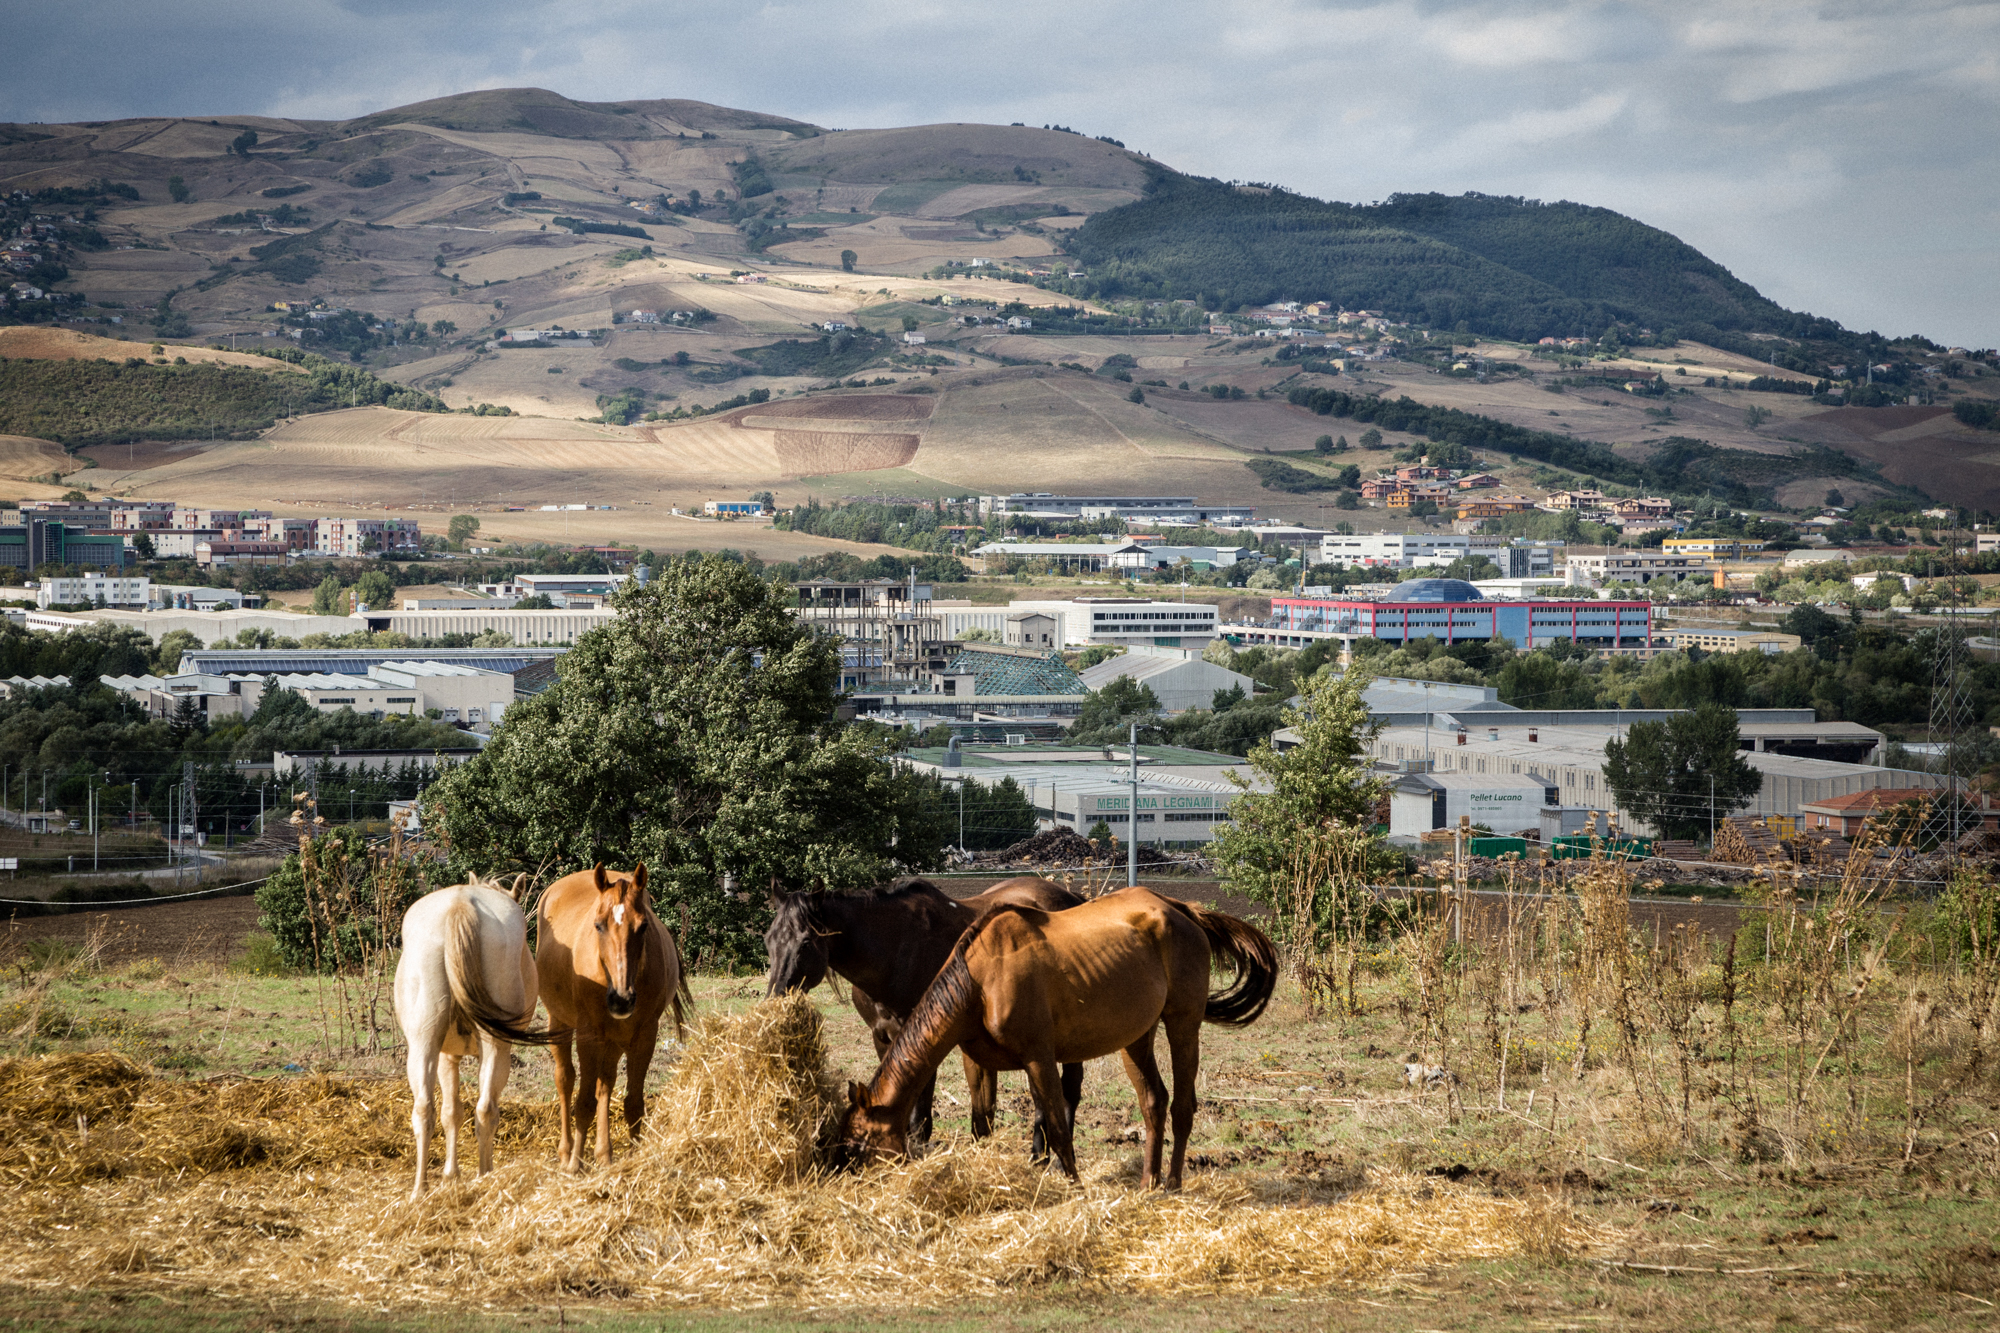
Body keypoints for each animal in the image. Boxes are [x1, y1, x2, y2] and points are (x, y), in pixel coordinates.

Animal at [392, 872, 568, 1192]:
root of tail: (460, 904)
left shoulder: (446, 1056)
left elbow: (451, 1112)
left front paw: (450, 1174)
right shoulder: (456, 1055)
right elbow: (458, 1112)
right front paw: (454, 1174)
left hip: (424, 1044)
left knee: (424, 1109)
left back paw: (420, 1189)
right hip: (497, 1047)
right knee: (486, 1109)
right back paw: (485, 1175)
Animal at [536, 860, 692, 1160]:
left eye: (643, 926)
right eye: (598, 925)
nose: (622, 1000)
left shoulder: (644, 1036)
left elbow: (633, 1103)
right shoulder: (588, 1035)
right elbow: (584, 1102)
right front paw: (575, 1163)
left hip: (615, 1040)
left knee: (604, 1084)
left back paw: (604, 1154)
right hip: (559, 1022)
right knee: (565, 1080)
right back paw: (566, 1152)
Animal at [764, 876, 1088, 1144]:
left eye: (806, 942)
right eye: (768, 939)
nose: (775, 999)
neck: (895, 950)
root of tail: (1071, 896)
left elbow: (919, 1119)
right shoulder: (882, 1037)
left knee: (1068, 1091)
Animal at [836, 880, 1272, 1184]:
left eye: (859, 1143)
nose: (841, 1176)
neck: (980, 980)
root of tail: (1181, 910)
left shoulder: (1039, 1057)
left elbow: (1059, 1128)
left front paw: (1073, 1186)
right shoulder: (984, 1059)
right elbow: (992, 1121)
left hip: (1183, 1024)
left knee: (1182, 1106)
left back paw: (1173, 1184)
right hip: (1136, 1038)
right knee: (1154, 1102)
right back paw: (1148, 1182)